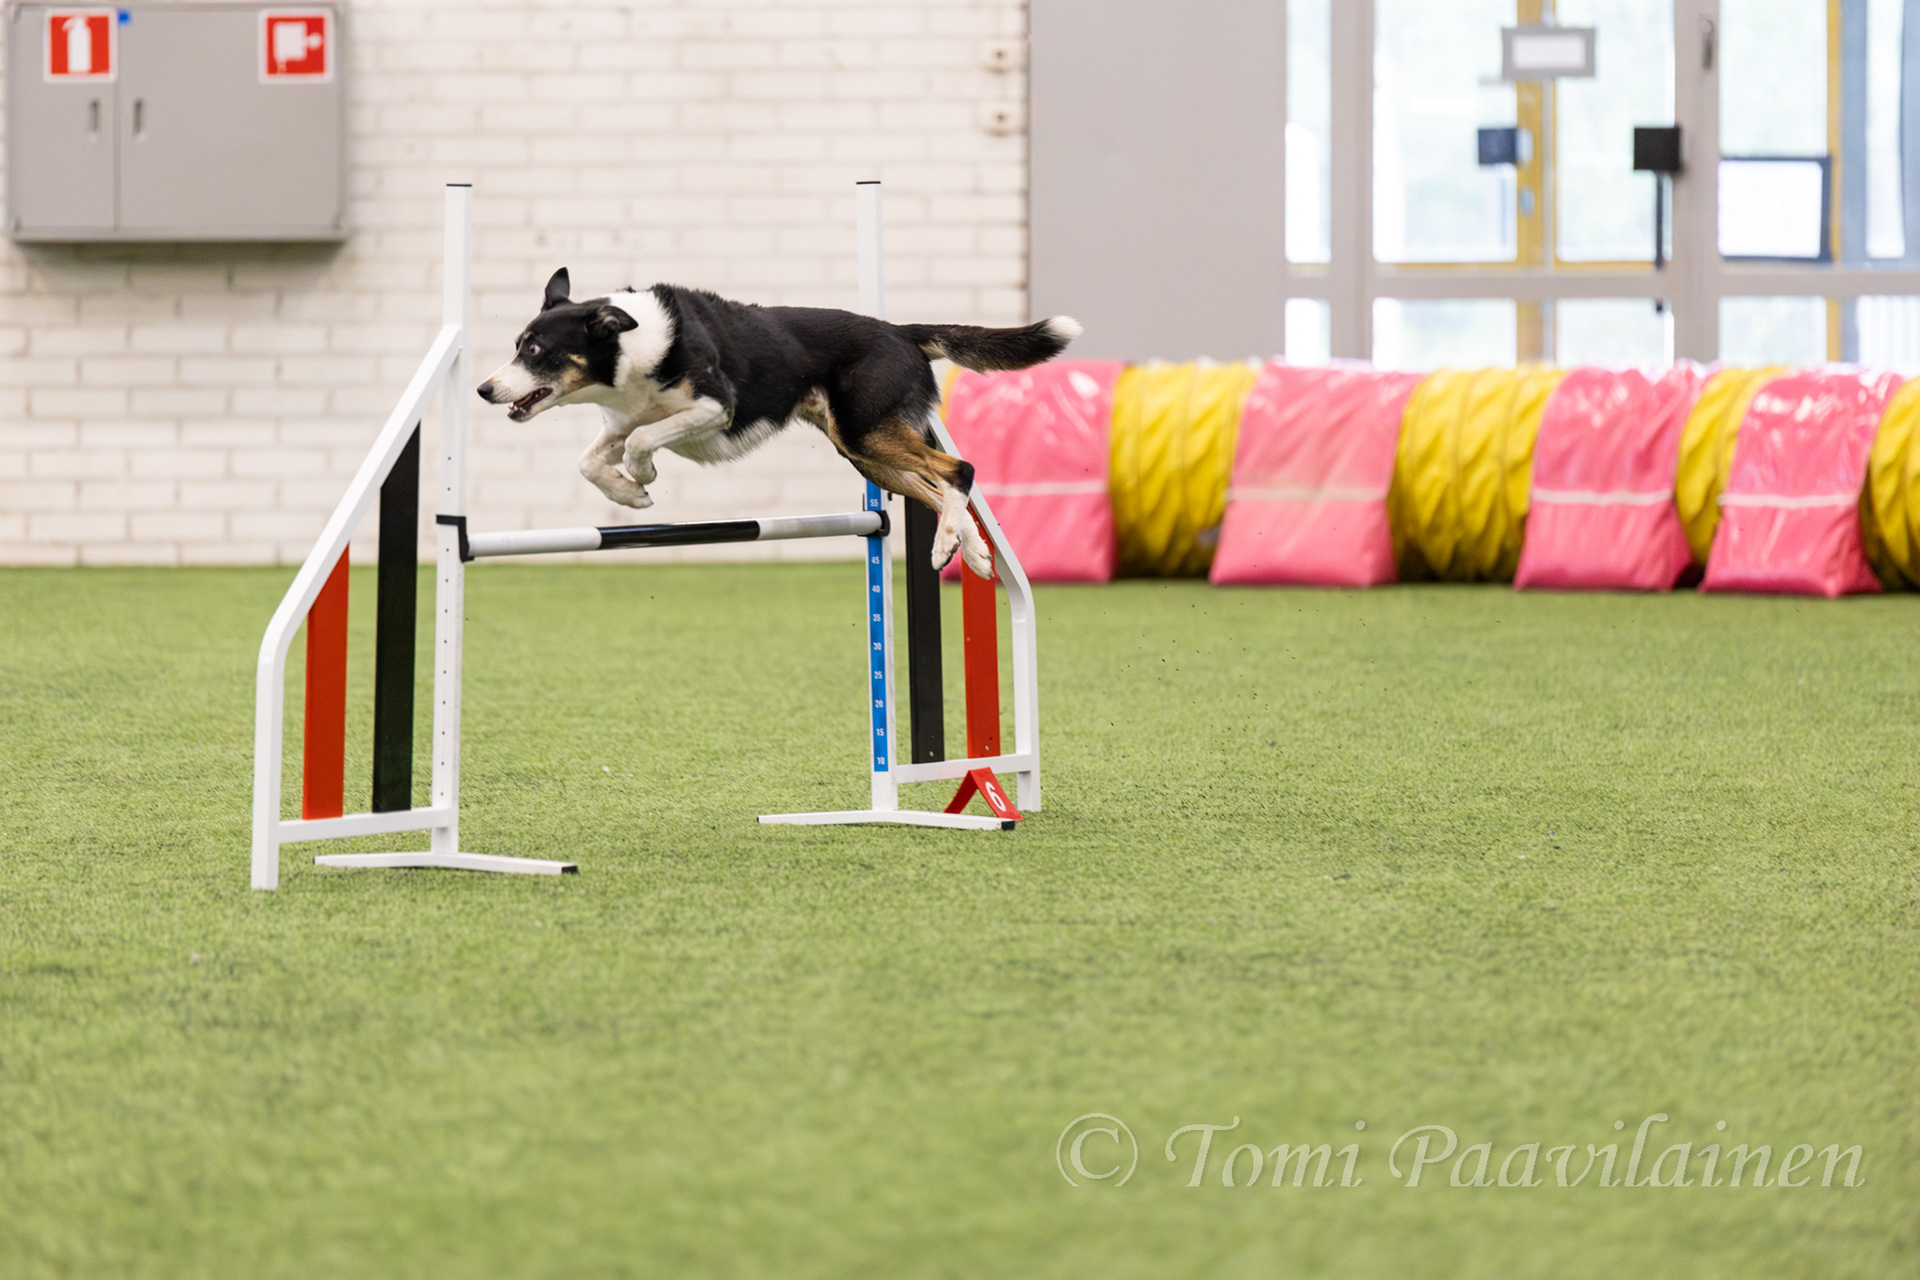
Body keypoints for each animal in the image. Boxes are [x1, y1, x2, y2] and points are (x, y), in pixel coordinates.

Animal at [476, 269, 1080, 576]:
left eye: (535, 350)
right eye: (517, 346)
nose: (484, 390)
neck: (629, 345)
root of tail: (901, 331)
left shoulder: (713, 407)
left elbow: (644, 441)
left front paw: (642, 478)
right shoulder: (623, 418)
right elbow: (591, 461)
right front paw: (631, 496)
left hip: (866, 430)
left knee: (959, 469)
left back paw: (944, 548)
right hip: (861, 449)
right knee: (936, 487)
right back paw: (970, 550)